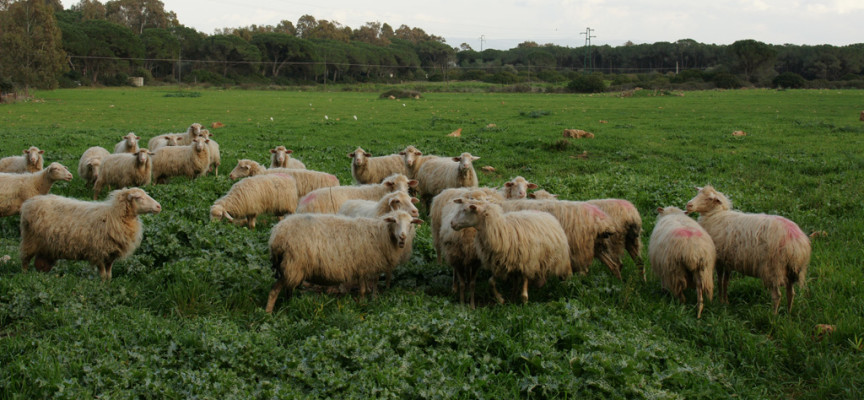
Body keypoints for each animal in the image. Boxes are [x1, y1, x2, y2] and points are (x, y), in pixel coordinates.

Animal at [19, 188, 162, 282]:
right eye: (139, 198)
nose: (159, 206)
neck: (114, 215)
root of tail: (28, 203)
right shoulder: (98, 252)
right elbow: (103, 274)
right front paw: (101, 286)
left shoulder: (110, 254)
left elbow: (109, 274)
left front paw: (108, 285)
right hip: (30, 240)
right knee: (25, 260)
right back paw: (25, 275)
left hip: (45, 248)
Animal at [264, 209, 424, 312]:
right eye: (395, 221)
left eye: (411, 223)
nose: (403, 236)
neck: (381, 234)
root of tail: (276, 235)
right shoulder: (364, 266)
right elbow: (364, 289)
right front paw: (362, 304)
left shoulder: (369, 265)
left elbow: (372, 286)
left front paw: (372, 300)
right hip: (293, 264)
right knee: (274, 290)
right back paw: (268, 313)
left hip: (290, 266)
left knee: (287, 288)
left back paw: (290, 305)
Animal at [684, 186, 812, 314]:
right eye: (698, 193)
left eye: (709, 198)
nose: (689, 205)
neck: (716, 215)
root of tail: (798, 243)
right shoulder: (728, 260)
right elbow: (726, 281)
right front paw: (726, 301)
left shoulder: (719, 259)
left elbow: (720, 281)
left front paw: (720, 300)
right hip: (790, 270)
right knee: (791, 292)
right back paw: (788, 314)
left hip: (774, 268)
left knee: (777, 295)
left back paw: (773, 316)